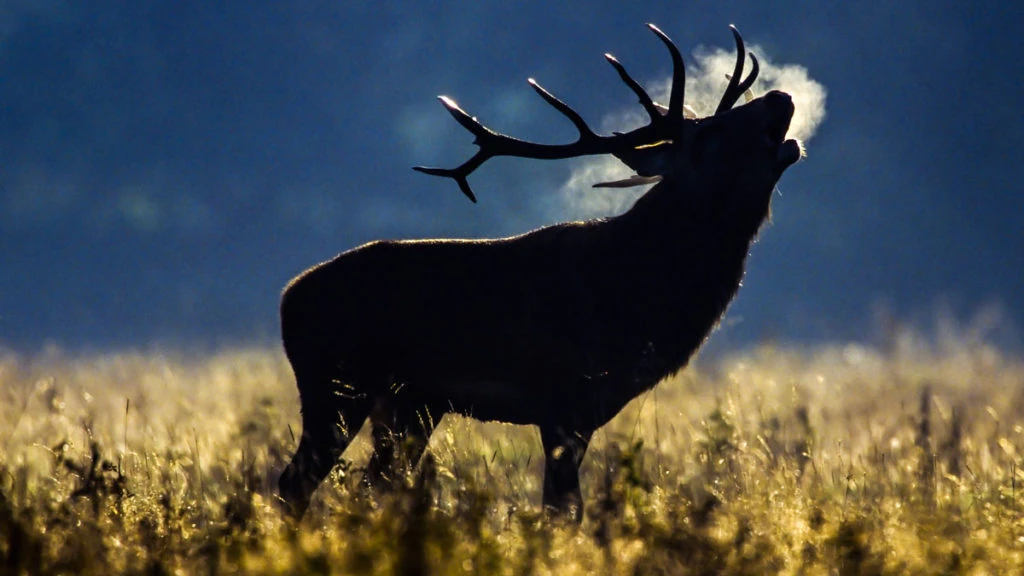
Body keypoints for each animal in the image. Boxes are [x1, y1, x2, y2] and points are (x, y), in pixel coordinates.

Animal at [277, 23, 803, 522]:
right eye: (708, 136)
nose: (780, 96)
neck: (640, 296)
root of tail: (287, 298)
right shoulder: (563, 401)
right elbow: (561, 510)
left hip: (411, 405)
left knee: (373, 485)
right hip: (337, 384)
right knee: (295, 483)